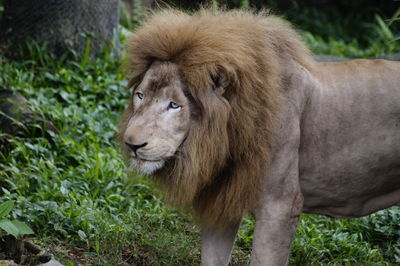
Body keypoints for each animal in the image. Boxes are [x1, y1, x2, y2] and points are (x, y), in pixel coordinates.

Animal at [120, 8, 400, 266]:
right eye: (140, 95)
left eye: (174, 105)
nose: (131, 144)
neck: (228, 137)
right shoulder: (221, 203)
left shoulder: (279, 207)